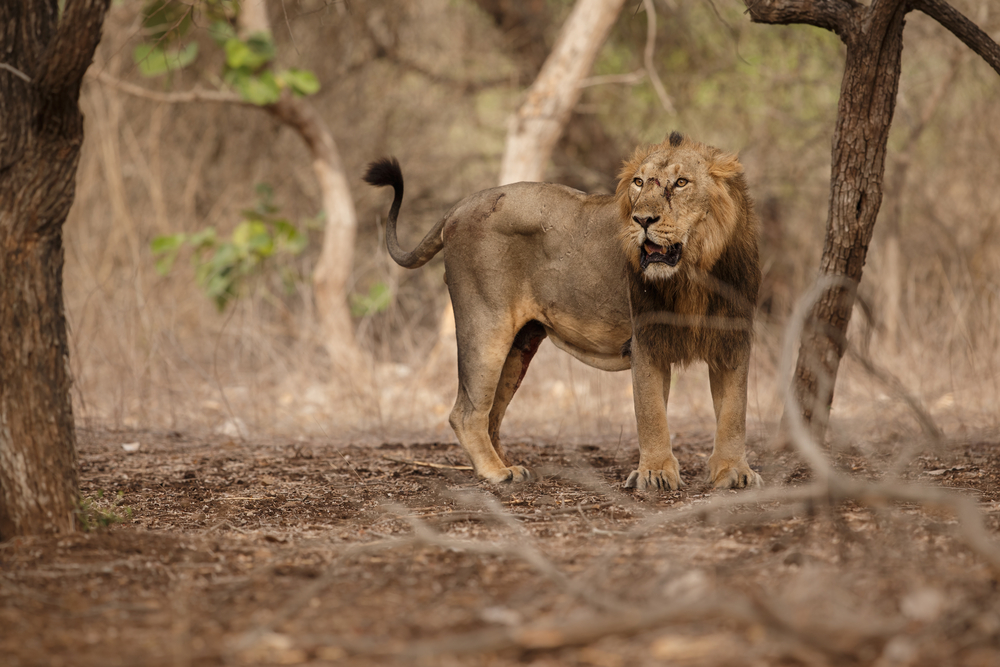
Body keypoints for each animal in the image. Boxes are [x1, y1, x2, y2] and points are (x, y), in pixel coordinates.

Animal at [364, 133, 760, 494]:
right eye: (638, 182)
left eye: (681, 183)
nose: (642, 219)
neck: (696, 271)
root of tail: (459, 205)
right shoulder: (646, 341)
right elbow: (651, 415)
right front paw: (656, 474)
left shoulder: (733, 341)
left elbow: (734, 413)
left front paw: (734, 473)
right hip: (485, 326)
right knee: (465, 412)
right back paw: (496, 473)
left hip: (520, 346)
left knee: (492, 415)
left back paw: (509, 465)